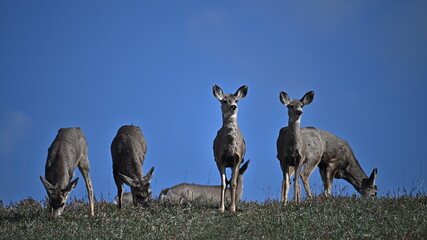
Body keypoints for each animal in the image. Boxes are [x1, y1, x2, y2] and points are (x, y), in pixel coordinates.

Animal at [213, 84, 249, 212]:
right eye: (224, 101)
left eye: (236, 100)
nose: (233, 106)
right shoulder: (220, 159)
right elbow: (223, 184)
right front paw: (221, 208)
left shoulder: (237, 159)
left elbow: (233, 183)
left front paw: (233, 208)